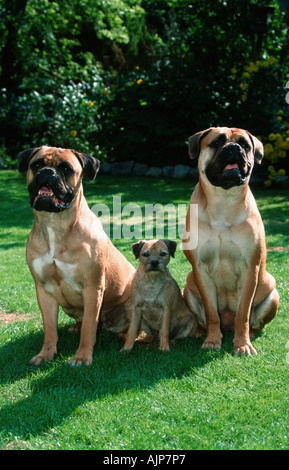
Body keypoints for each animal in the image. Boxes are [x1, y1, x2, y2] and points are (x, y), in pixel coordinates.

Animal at [17, 145, 134, 366]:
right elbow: (50, 329)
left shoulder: (92, 287)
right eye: (36, 164)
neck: (55, 224)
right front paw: (46, 354)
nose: (47, 172)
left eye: (66, 168)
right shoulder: (43, 290)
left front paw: (82, 357)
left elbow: (89, 327)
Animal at [182, 126, 280, 354]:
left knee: (254, 322)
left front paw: (243, 345)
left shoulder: (249, 268)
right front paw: (212, 341)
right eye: (216, 142)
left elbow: (243, 313)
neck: (223, 202)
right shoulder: (200, 268)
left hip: (273, 293)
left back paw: (250, 334)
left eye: (245, 145)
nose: (234, 147)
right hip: (188, 289)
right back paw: (199, 332)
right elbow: (211, 312)